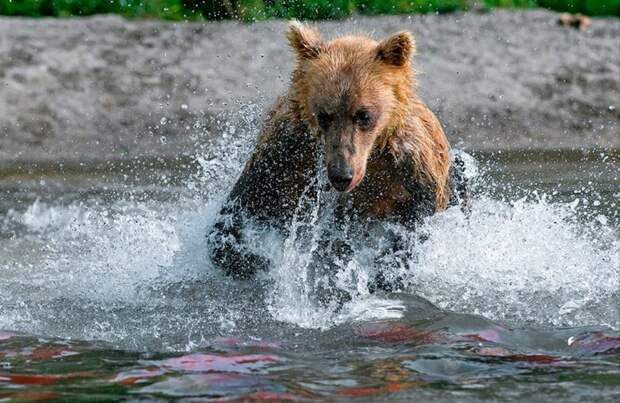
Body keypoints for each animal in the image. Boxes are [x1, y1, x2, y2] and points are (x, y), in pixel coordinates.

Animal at [207, 22, 464, 286]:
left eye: (363, 115)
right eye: (324, 115)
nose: (342, 175)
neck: (373, 154)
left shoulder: (411, 164)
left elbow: (418, 220)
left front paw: (387, 271)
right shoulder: (286, 152)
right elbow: (243, 206)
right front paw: (254, 259)